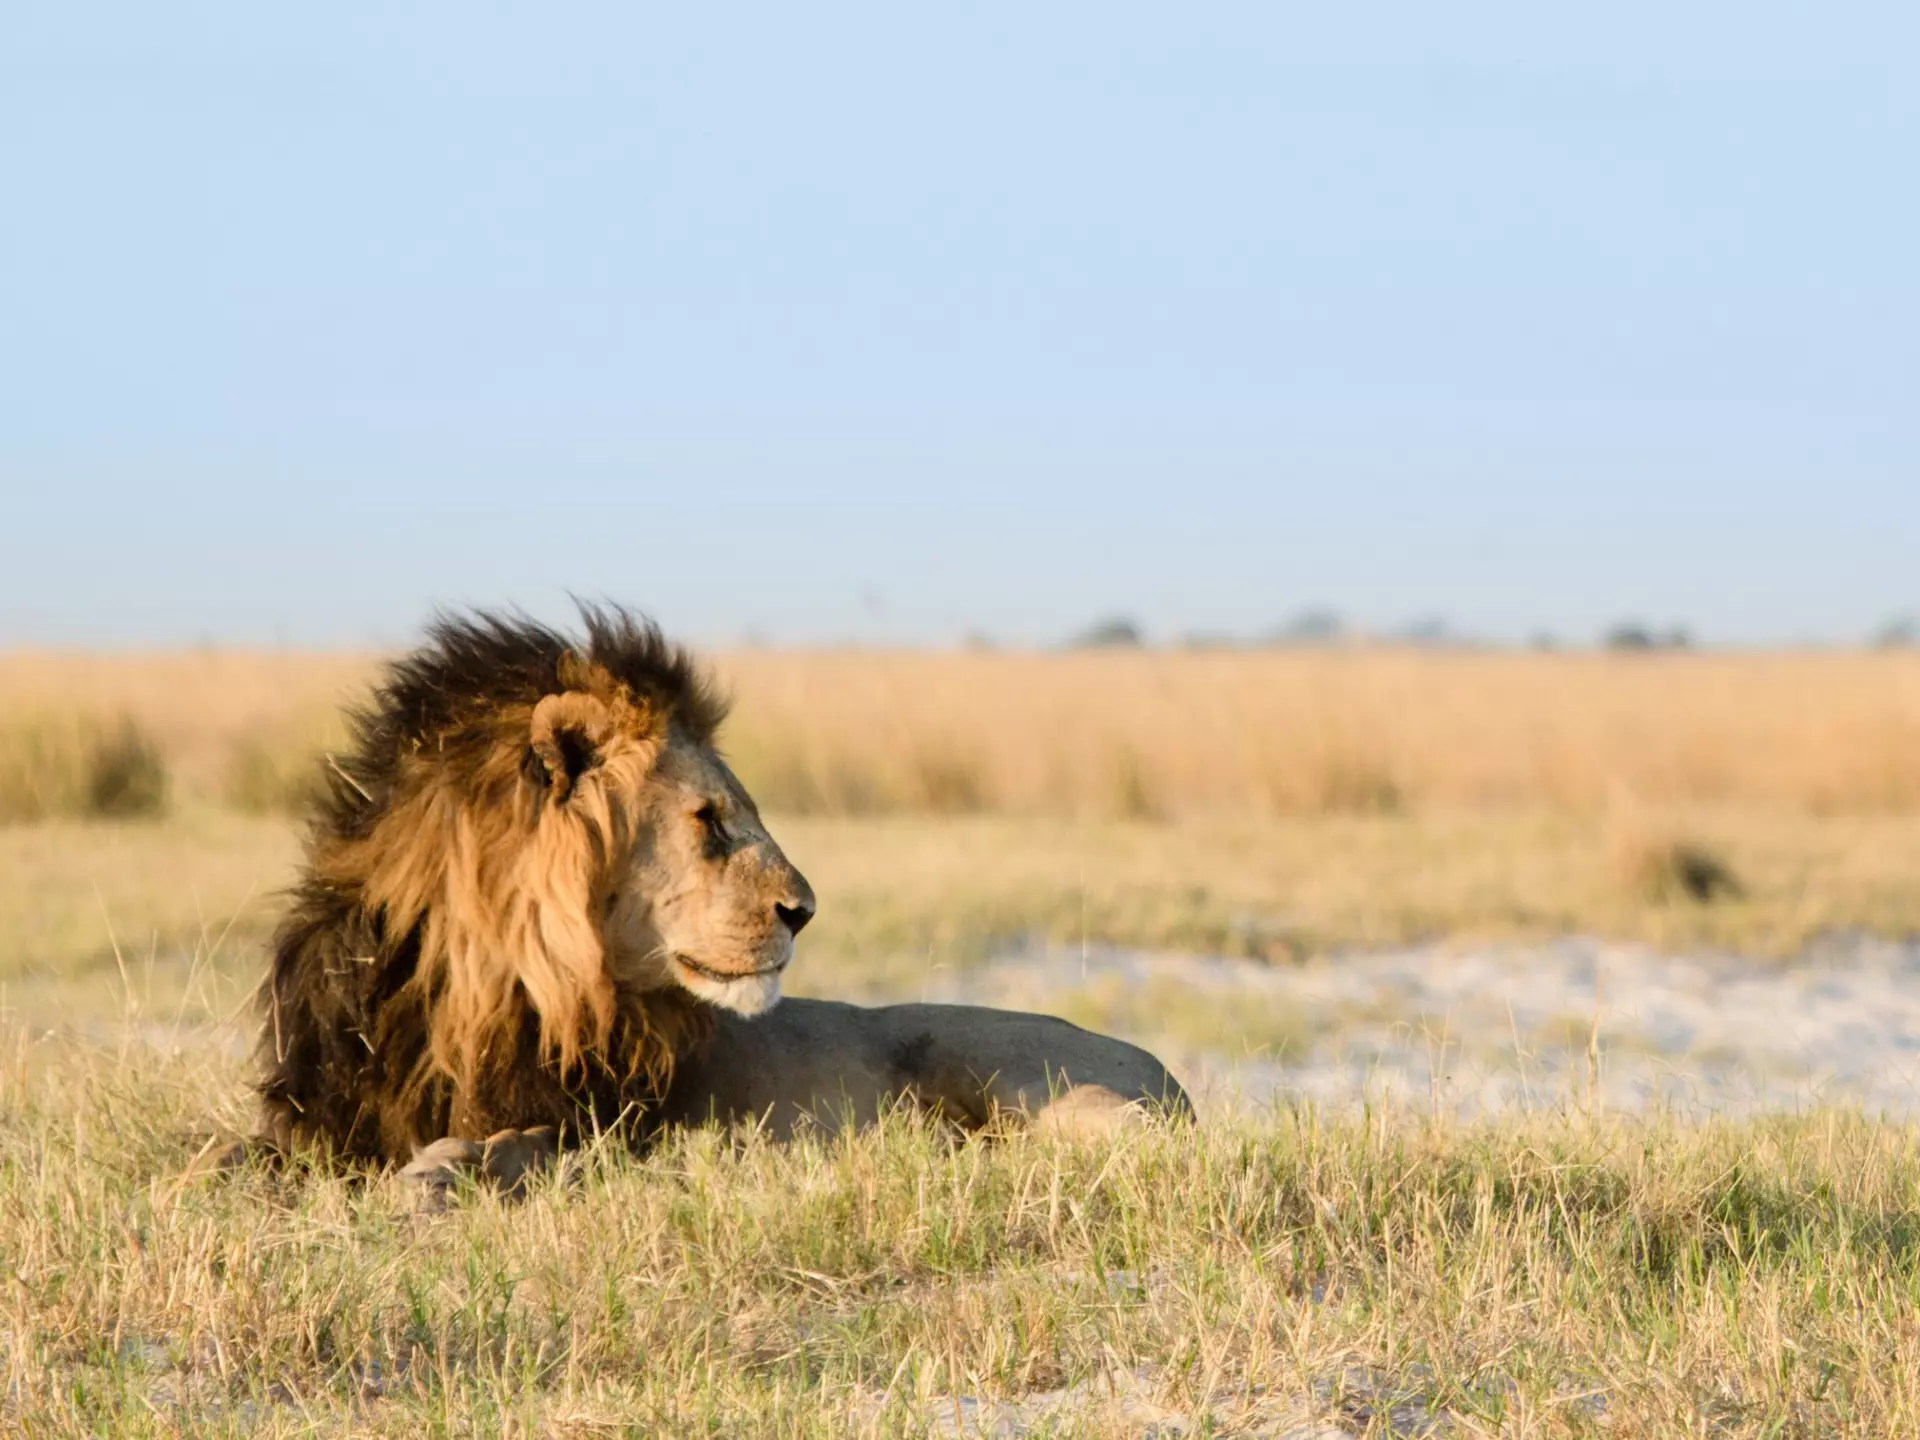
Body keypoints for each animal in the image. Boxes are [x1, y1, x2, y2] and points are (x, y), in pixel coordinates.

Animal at [209, 605, 1187, 1195]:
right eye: (709, 818)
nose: (804, 910)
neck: (480, 978)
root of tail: (1168, 1074)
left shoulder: (612, 1129)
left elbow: (516, 1146)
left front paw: (436, 1175)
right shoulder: (316, 1113)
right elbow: (226, 1158)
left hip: (1019, 1074)